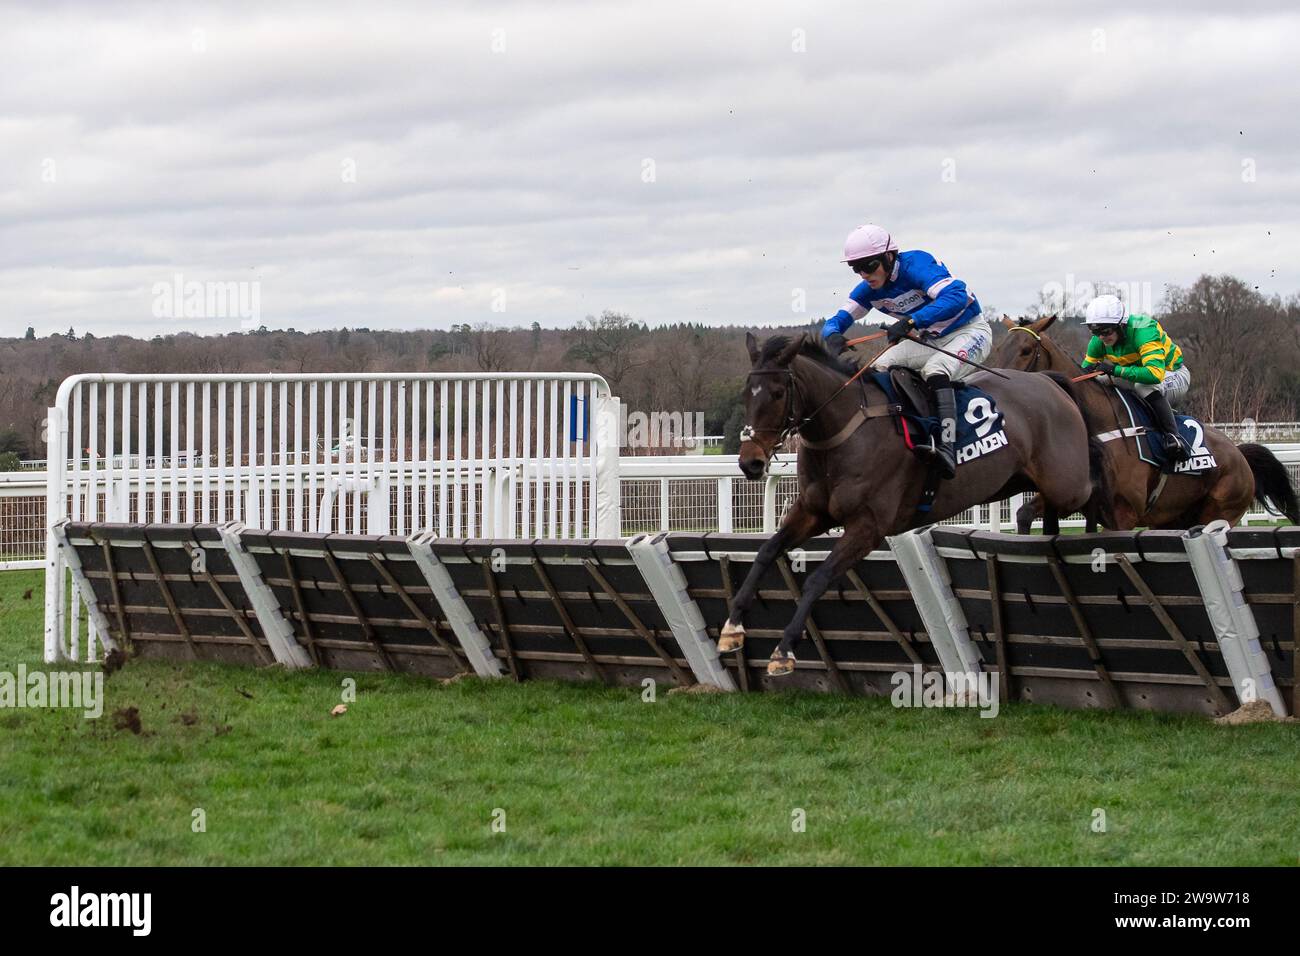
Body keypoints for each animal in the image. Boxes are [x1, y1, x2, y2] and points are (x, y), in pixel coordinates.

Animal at [728, 332, 1102, 676]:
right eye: (746, 393)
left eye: (778, 393)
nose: (751, 462)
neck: (845, 431)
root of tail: (1048, 381)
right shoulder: (812, 512)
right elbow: (767, 551)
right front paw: (732, 629)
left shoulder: (868, 527)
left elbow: (818, 579)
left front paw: (783, 650)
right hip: (1026, 480)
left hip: (1069, 483)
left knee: (1094, 490)